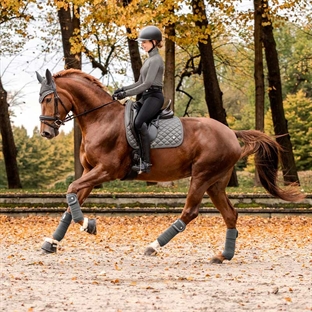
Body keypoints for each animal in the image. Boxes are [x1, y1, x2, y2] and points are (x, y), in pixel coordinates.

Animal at [36, 68, 304, 264]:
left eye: (48, 99)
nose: (46, 132)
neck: (101, 119)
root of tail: (230, 132)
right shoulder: (90, 172)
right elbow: (72, 200)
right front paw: (53, 242)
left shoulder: (106, 170)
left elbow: (71, 190)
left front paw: (88, 225)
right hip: (216, 183)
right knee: (230, 214)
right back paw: (223, 255)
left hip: (202, 177)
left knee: (190, 212)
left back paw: (153, 246)